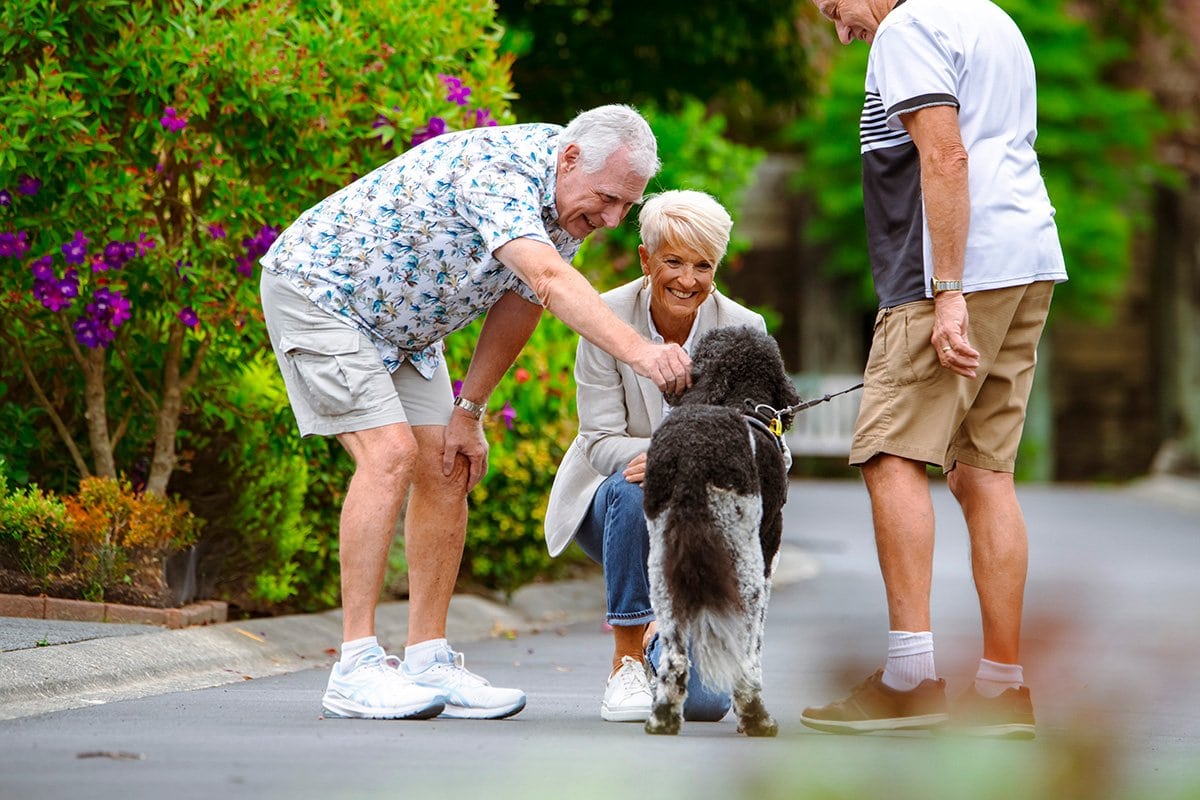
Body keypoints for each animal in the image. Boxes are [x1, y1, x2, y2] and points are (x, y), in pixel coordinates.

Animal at [643, 326, 801, 738]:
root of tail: (693, 459)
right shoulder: (768, 549)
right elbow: (755, 644)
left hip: (663, 566)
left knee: (674, 654)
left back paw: (663, 717)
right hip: (743, 564)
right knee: (745, 649)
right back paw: (757, 718)